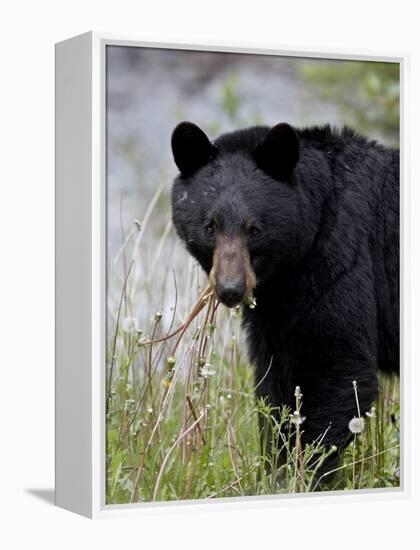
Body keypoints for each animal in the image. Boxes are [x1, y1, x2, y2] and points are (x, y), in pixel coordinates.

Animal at [169, 119, 398, 478]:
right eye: (210, 227)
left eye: (254, 230)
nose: (231, 289)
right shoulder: (276, 307)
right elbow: (276, 382)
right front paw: (276, 465)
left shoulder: (341, 261)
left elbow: (336, 367)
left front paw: (304, 472)